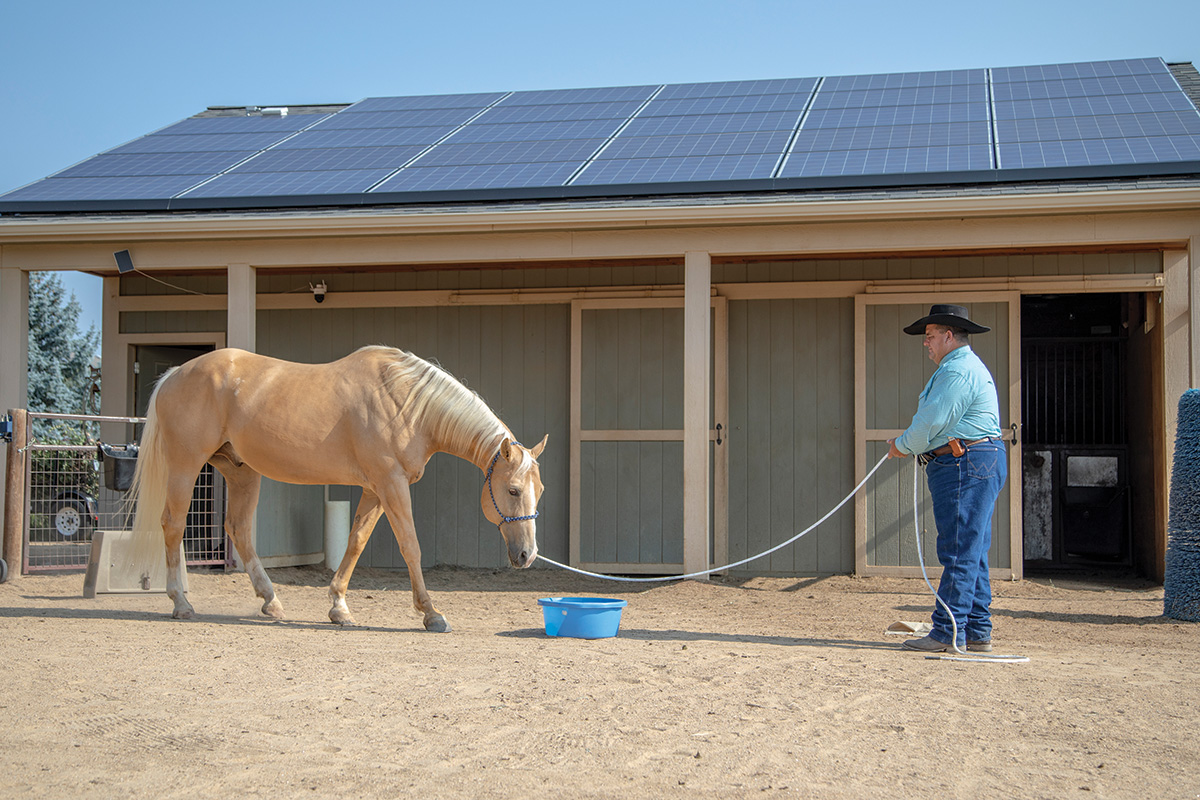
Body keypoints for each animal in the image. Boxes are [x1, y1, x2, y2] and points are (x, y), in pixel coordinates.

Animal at [123, 345, 547, 632]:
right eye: (512, 490)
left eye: (538, 491)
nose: (527, 555)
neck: (407, 403)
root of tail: (175, 374)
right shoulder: (391, 484)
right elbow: (410, 546)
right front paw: (431, 614)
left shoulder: (376, 489)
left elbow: (355, 542)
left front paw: (339, 607)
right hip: (186, 465)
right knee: (173, 525)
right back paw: (181, 603)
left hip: (242, 471)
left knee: (239, 530)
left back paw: (271, 601)